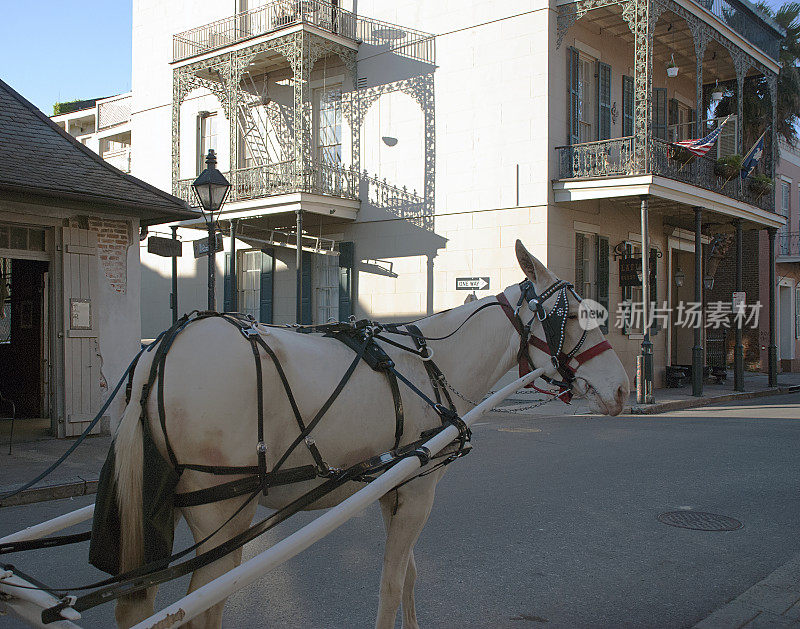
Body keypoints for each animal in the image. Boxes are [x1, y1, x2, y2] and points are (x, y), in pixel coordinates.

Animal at [112, 240, 628, 628]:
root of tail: (159, 351)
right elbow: (391, 585)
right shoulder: (418, 491)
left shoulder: (392, 487)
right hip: (222, 517)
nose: (622, 388)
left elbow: (411, 576)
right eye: (577, 316)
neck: (430, 366)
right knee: (200, 611)